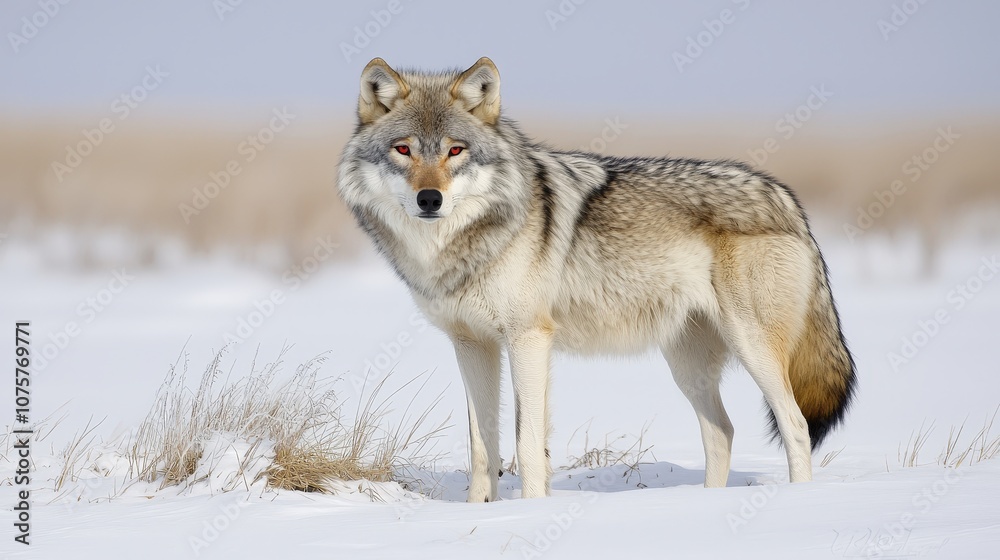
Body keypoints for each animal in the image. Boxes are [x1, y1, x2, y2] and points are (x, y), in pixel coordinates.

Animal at [338, 57, 856, 501]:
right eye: (403, 150)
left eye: (455, 151)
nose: (430, 199)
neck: (459, 245)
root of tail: (785, 196)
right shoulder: (472, 344)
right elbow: (482, 447)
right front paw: (480, 511)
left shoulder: (529, 338)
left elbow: (527, 444)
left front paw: (529, 510)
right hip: (686, 364)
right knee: (722, 432)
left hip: (752, 347)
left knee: (794, 425)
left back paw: (797, 501)